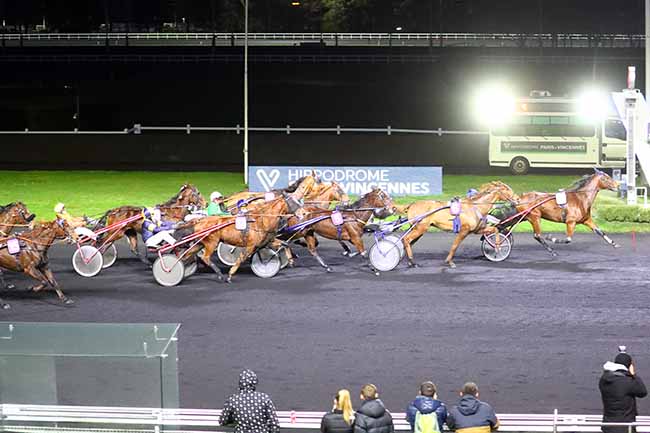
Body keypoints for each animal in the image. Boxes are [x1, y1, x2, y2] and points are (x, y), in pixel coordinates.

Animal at [177, 175, 318, 282]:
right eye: (293, 202)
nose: (304, 213)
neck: (262, 219)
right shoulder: (253, 244)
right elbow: (241, 258)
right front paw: (230, 274)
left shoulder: (269, 239)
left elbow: (284, 244)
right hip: (212, 242)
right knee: (205, 257)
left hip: (200, 242)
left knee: (188, 255)